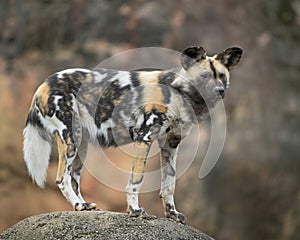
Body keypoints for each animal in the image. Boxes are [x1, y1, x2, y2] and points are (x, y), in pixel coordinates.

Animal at [24, 46, 244, 223]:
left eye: (222, 76)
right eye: (204, 76)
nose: (220, 91)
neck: (179, 92)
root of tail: (43, 84)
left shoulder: (171, 144)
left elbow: (169, 183)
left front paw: (172, 214)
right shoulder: (144, 138)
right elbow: (136, 181)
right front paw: (134, 210)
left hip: (81, 145)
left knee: (73, 178)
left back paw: (83, 206)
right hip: (71, 138)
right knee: (62, 178)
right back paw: (78, 206)